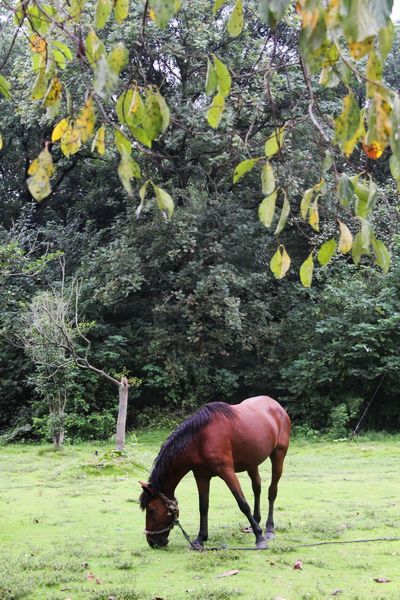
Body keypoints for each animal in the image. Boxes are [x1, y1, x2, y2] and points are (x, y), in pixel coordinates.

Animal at [139, 396, 290, 552]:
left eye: (151, 510)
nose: (152, 542)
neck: (200, 440)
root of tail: (276, 405)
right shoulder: (201, 476)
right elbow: (203, 507)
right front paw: (200, 539)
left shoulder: (227, 472)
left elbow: (243, 504)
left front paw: (259, 538)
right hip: (252, 463)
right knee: (257, 488)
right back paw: (255, 522)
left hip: (278, 455)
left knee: (272, 491)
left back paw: (269, 528)